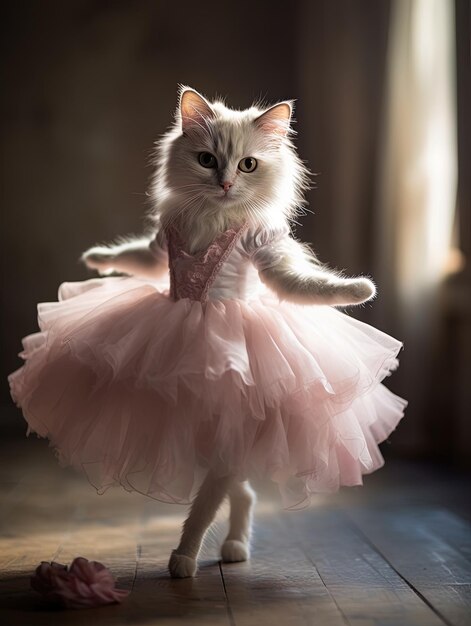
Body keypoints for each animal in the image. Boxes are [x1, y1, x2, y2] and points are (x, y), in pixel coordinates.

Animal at [82, 86, 376, 576]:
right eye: (207, 160)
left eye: (248, 165)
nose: (224, 184)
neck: (212, 217)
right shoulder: (161, 245)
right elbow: (134, 257)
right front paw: (96, 259)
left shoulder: (265, 248)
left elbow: (307, 284)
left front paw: (359, 289)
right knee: (241, 489)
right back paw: (232, 546)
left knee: (232, 489)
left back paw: (221, 550)